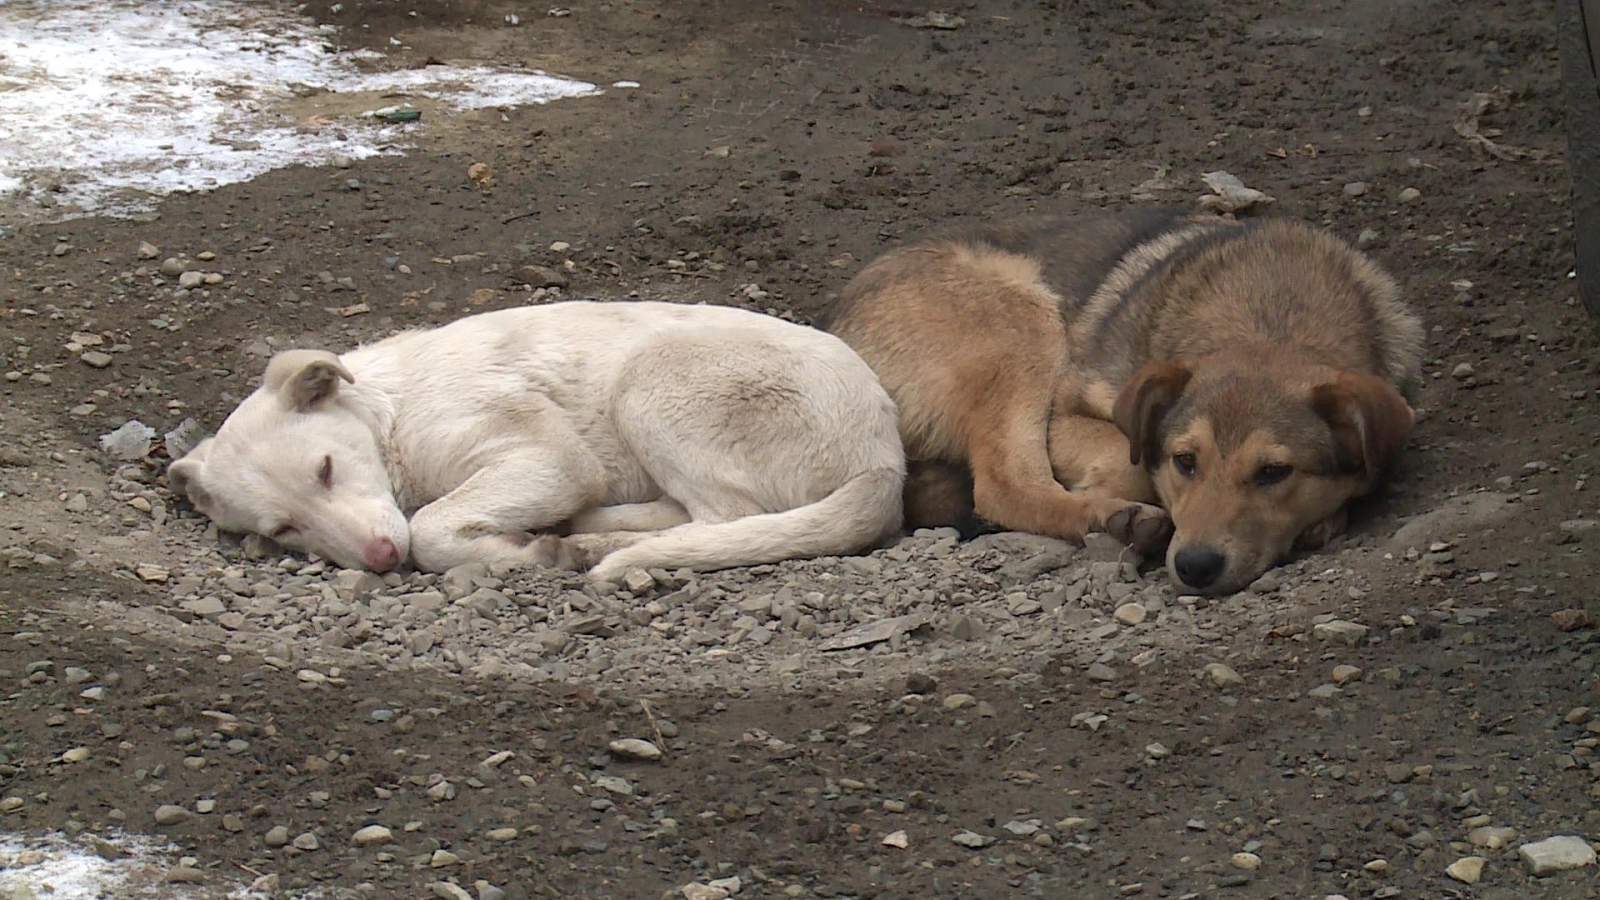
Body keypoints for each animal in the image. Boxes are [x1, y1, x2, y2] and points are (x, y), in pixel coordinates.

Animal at [170, 299, 915, 582]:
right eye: (284, 529)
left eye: (326, 468)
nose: (380, 561)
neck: (393, 416)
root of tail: (885, 461)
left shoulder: (552, 459)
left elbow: (431, 526)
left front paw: (510, 552)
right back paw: (586, 533)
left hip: (652, 379)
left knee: (730, 517)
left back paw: (586, 546)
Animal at [825, 206, 1427, 592]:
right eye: (1186, 461)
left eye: (1275, 473)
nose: (1196, 567)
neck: (1272, 312)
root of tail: (839, 320)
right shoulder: (1070, 412)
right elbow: (1131, 460)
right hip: (1020, 321)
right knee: (1003, 484)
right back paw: (1114, 518)